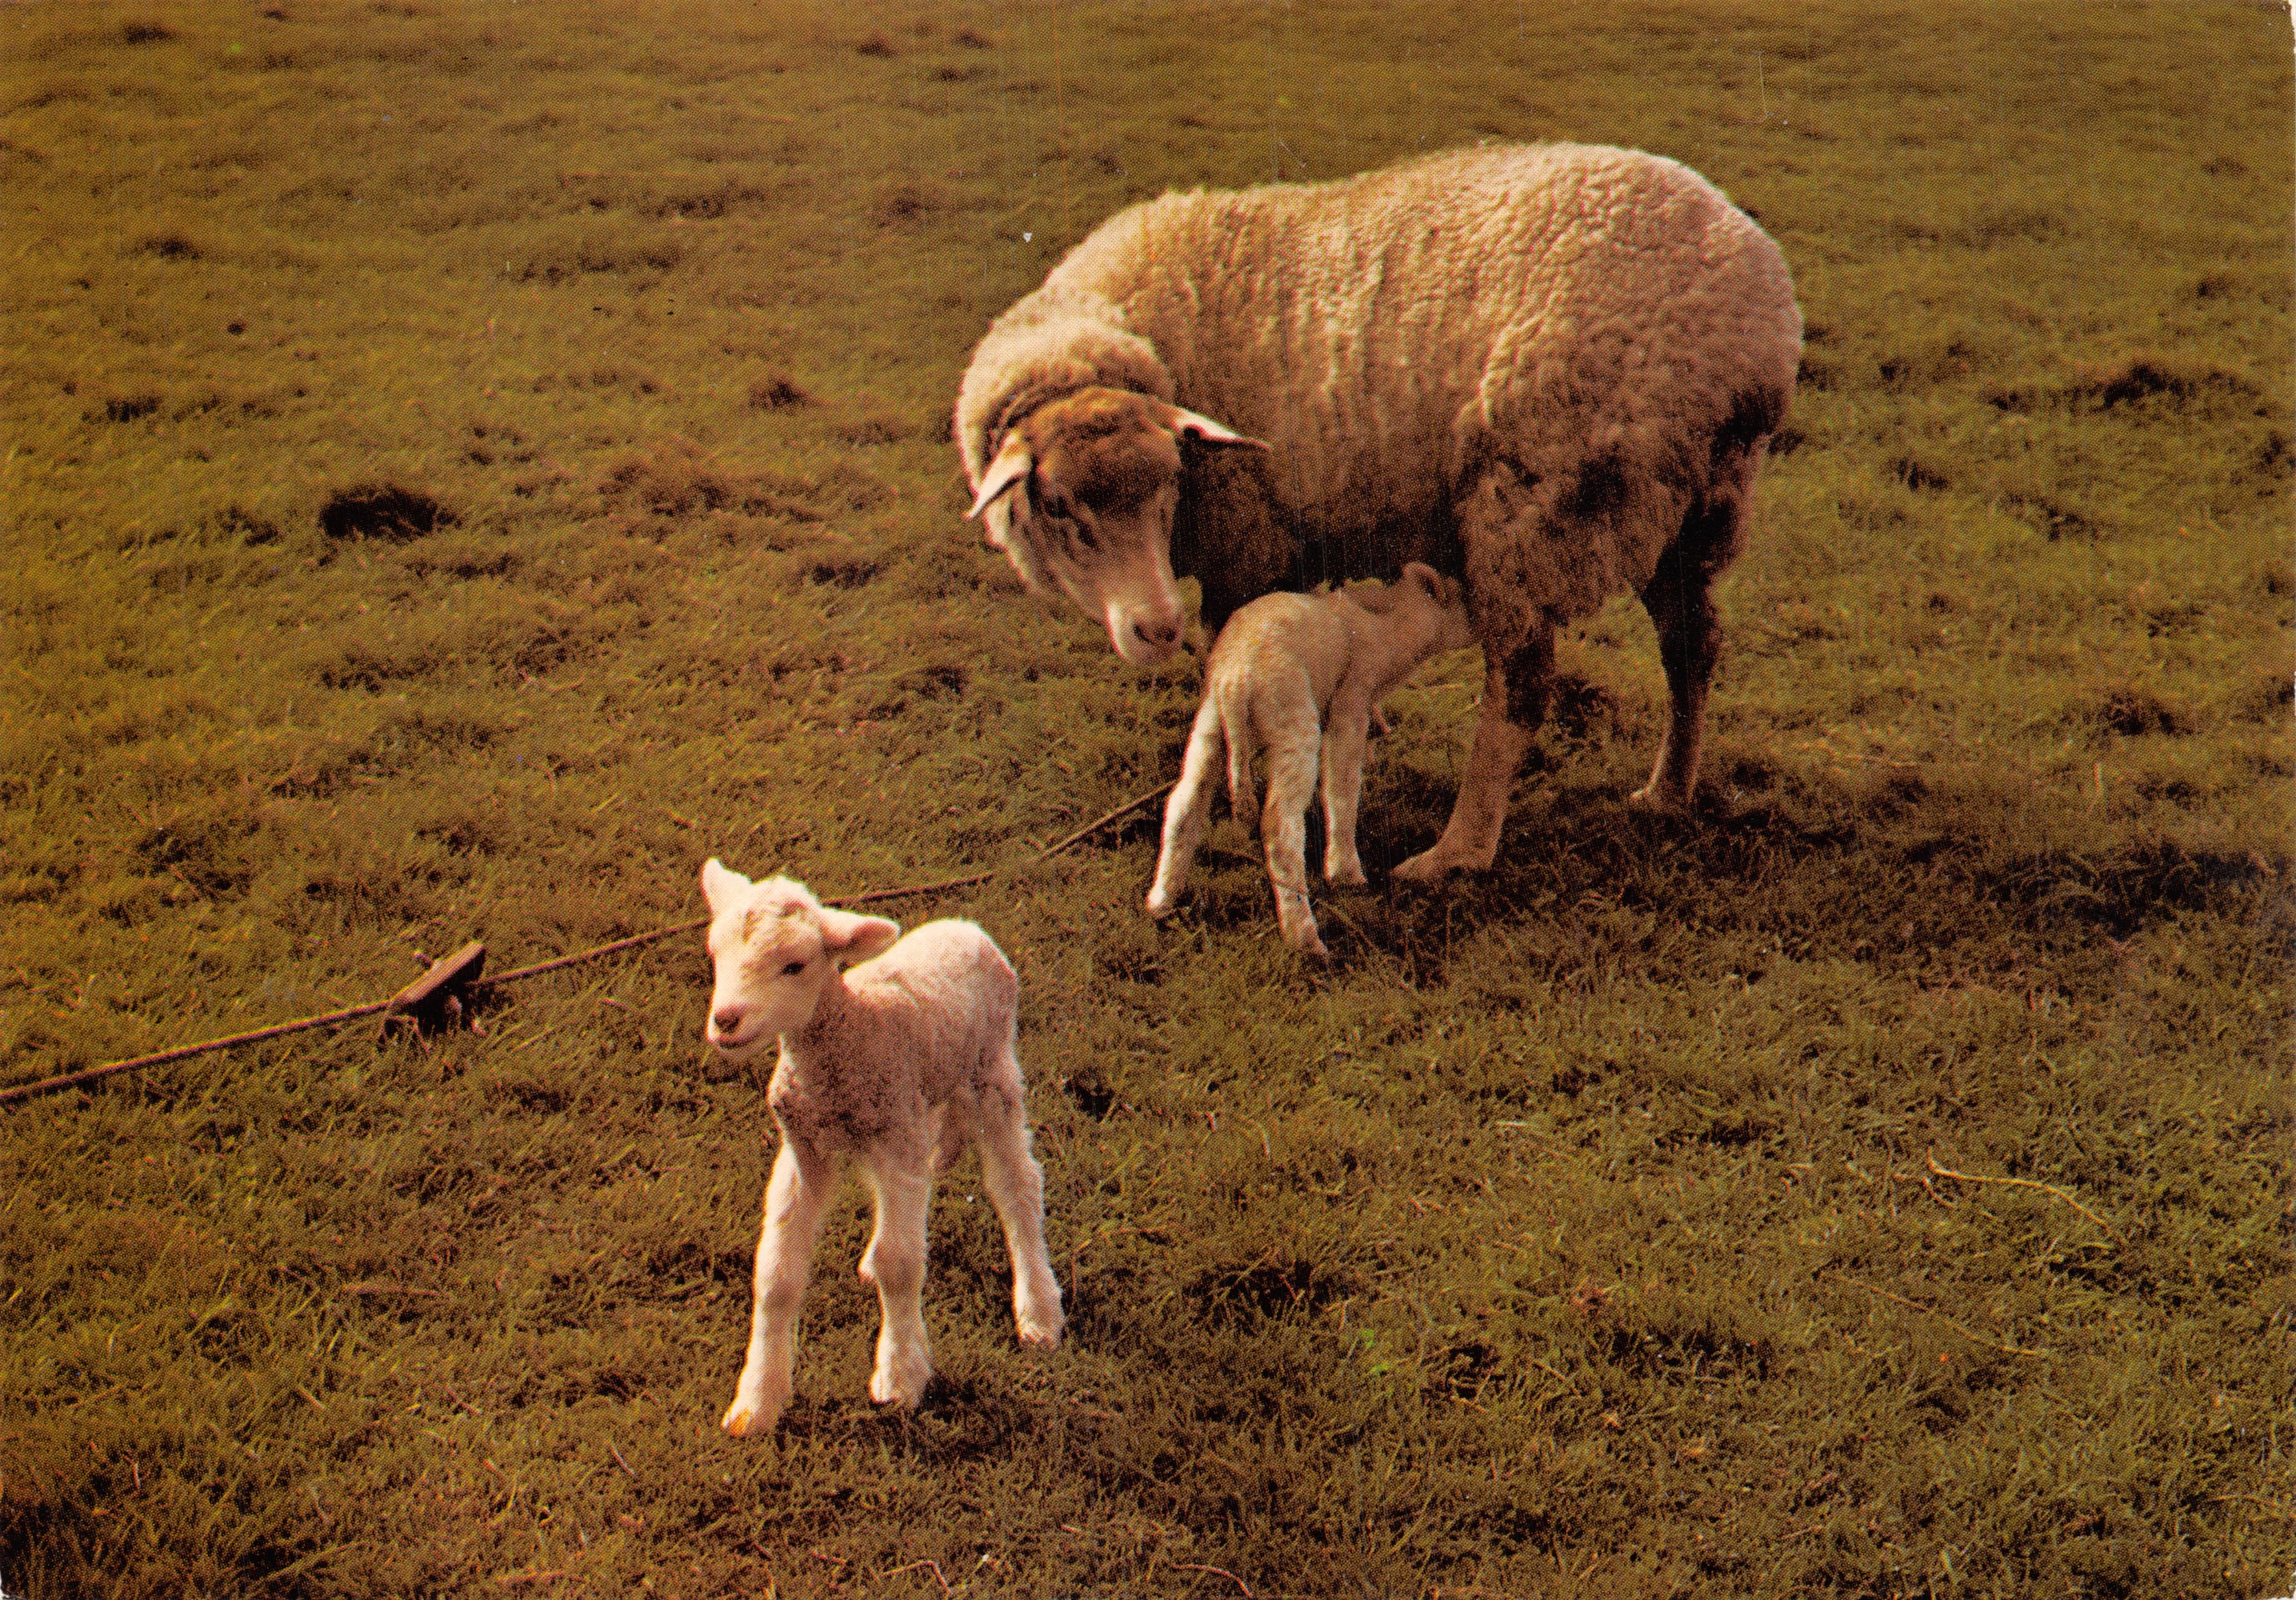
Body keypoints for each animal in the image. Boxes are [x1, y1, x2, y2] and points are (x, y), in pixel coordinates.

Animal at [698, 860, 1062, 1436]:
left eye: (795, 965)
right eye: (716, 956)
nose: (726, 1020)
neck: (852, 1028)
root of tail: (967, 927)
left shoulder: (896, 1140)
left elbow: (901, 1262)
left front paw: (900, 1376)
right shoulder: (807, 1150)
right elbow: (777, 1273)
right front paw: (757, 1401)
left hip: (991, 1075)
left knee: (1017, 1186)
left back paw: (1039, 1311)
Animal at [955, 142, 1801, 879]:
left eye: (1170, 487)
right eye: (1056, 505)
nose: (1155, 627)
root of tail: (1755, 315)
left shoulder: (1246, 542)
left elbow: (1227, 655)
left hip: (1540, 498)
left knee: (1523, 685)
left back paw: (1456, 851)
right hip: (1689, 509)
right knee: (1692, 648)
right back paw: (1667, 791)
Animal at [1145, 562, 1474, 958]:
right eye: (1465, 596)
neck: (1389, 631)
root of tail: (1235, 681)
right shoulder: (1352, 700)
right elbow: (1342, 787)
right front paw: (1345, 873)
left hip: (1210, 723)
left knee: (1184, 802)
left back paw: (1162, 900)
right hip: (1293, 719)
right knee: (1280, 825)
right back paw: (1305, 938)